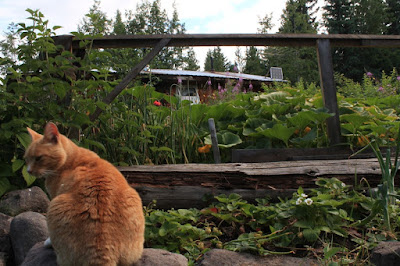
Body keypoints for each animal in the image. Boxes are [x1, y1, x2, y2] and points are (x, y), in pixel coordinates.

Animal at [24, 122, 145, 266]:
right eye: (26, 159)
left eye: (38, 158)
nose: (28, 171)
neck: (70, 160)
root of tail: (102, 251)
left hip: (54, 205)